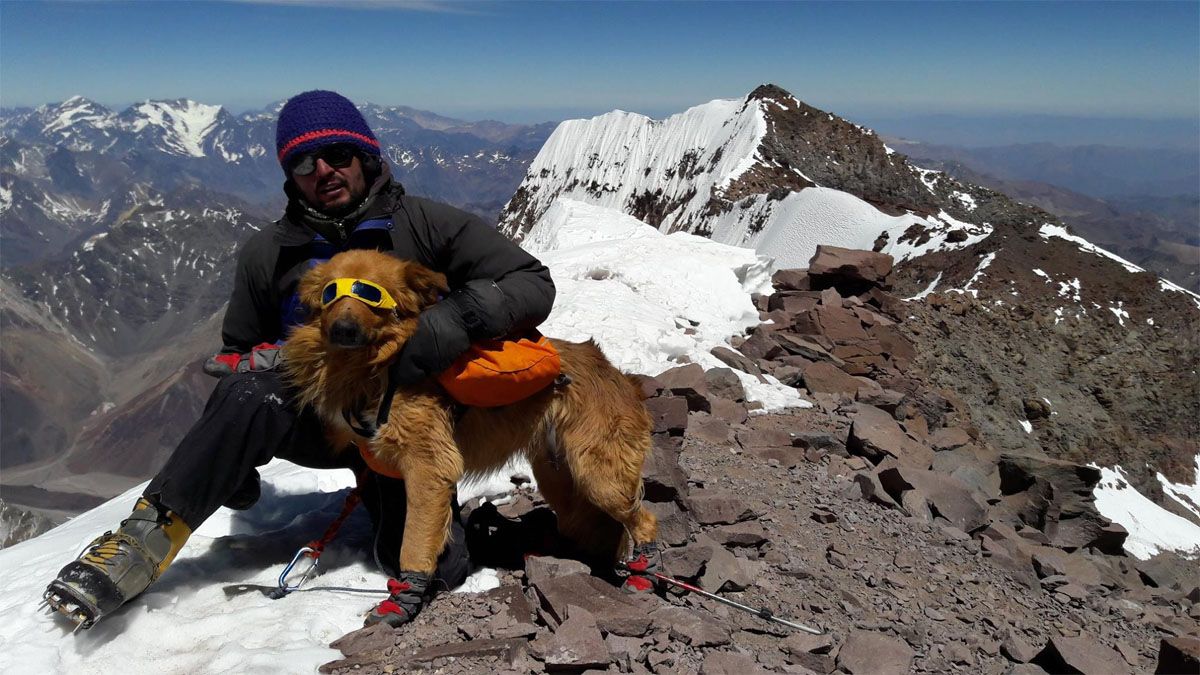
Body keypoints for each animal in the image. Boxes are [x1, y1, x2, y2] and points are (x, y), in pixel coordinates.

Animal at [280, 249, 657, 576]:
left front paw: (406, 594)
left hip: (601, 477)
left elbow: (414, 542)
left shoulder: (430, 466)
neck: (380, 366)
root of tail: (622, 377)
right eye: (330, 293)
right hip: (559, 478)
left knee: (643, 519)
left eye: (373, 295)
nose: (342, 330)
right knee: (598, 525)